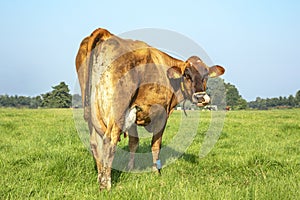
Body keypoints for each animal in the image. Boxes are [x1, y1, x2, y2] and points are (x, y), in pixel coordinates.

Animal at [75, 27, 225, 190]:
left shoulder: (134, 112)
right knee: (109, 140)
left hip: (92, 113)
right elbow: (156, 145)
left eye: (206, 75)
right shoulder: (161, 115)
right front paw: (156, 172)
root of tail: (106, 34)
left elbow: (134, 143)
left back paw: (100, 177)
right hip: (117, 112)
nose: (201, 98)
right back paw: (106, 184)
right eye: (187, 75)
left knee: (95, 143)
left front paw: (130, 168)